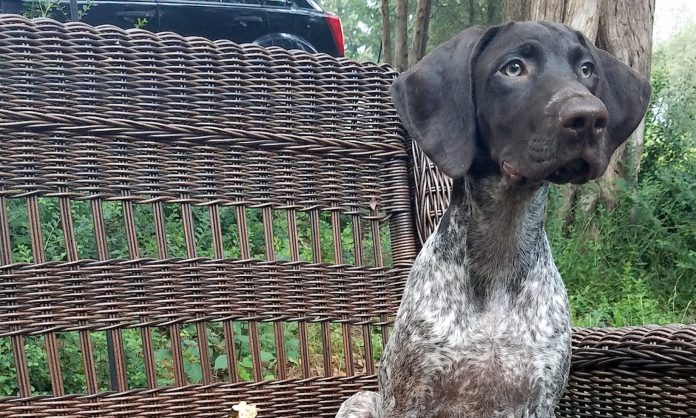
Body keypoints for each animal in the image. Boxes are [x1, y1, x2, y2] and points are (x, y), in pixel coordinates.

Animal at [334, 20, 648, 418]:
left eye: (586, 69)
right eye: (513, 68)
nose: (590, 116)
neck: (501, 247)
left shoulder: (540, 400)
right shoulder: (410, 399)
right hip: (360, 401)